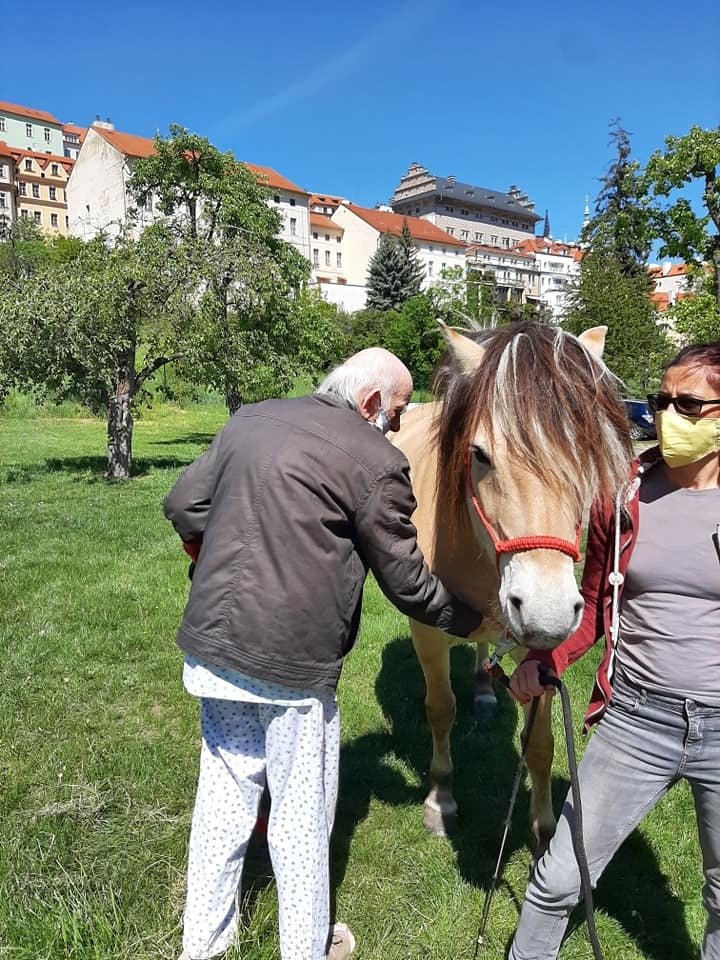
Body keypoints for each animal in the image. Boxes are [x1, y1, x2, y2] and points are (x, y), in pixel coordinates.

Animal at [390, 322, 632, 856]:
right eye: (479, 454)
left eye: (589, 457)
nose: (548, 613)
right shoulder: (427, 634)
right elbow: (440, 710)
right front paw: (441, 801)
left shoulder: (534, 656)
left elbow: (539, 745)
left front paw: (543, 833)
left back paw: (484, 690)